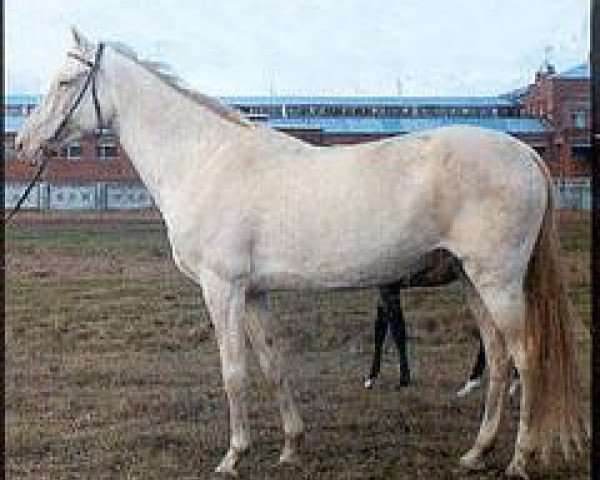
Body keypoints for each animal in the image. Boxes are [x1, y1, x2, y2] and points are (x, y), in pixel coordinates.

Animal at [16, 29, 588, 476]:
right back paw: (476, 453)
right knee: (498, 359)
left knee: (525, 358)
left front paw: (232, 457)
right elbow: (273, 364)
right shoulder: (253, 293)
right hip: (471, 281)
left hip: (497, 281)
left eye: (65, 82)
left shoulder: (222, 289)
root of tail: (526, 153)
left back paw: (518, 460)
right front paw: (291, 446)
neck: (205, 158)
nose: (23, 144)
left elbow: (234, 373)